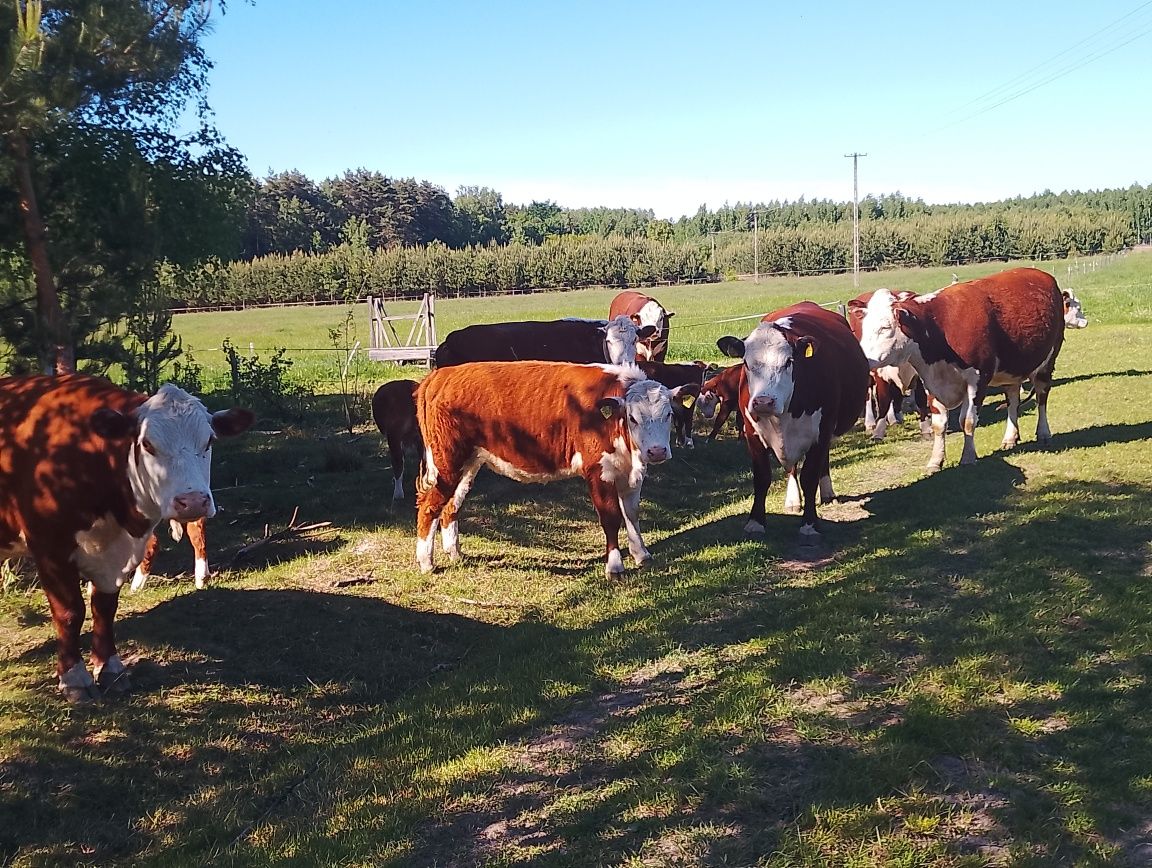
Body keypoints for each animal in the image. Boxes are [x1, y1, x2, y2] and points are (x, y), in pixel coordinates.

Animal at [0, 375, 253, 700]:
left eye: (209, 441)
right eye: (147, 444)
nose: (193, 501)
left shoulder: (117, 554)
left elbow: (104, 608)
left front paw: (110, 668)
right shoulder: (50, 546)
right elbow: (70, 612)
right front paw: (74, 678)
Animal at [417, 359, 691, 576]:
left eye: (668, 414)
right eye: (633, 417)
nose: (656, 451)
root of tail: (440, 375)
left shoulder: (630, 472)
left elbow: (632, 514)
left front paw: (641, 554)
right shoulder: (598, 470)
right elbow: (611, 517)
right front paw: (615, 567)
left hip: (468, 463)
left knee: (451, 505)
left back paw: (454, 552)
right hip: (447, 462)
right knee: (430, 506)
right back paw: (426, 562)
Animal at [714, 302, 866, 539]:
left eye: (789, 362)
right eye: (746, 363)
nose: (763, 402)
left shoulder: (821, 431)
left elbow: (810, 477)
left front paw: (809, 524)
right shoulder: (752, 433)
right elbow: (762, 477)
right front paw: (756, 522)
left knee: (822, 462)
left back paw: (827, 491)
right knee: (792, 468)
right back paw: (793, 500)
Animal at [861, 267, 1064, 470]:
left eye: (884, 327)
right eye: (863, 327)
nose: (864, 358)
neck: (939, 327)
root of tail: (1042, 274)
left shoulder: (977, 380)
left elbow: (967, 421)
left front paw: (967, 457)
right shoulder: (931, 383)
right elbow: (939, 424)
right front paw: (935, 460)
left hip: (1047, 362)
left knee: (1041, 397)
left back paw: (1044, 432)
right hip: (1012, 371)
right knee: (1013, 399)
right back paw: (1010, 437)